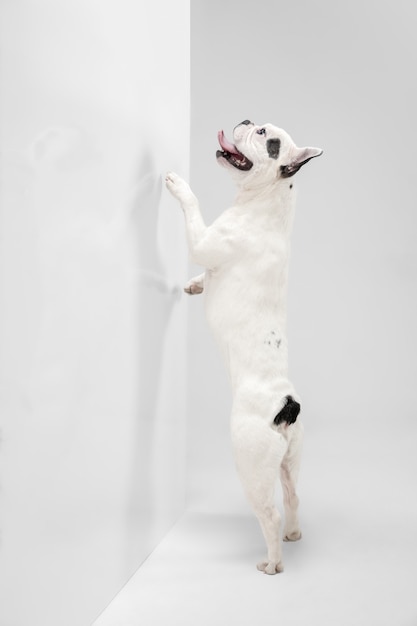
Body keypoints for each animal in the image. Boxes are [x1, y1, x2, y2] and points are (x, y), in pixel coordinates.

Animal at [165, 119, 322, 572]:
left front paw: (178, 184)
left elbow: (193, 213)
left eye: (267, 138)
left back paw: (272, 562)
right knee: (293, 496)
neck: (266, 202)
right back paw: (293, 534)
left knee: (268, 513)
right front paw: (195, 285)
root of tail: (287, 403)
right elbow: (203, 273)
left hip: (249, 462)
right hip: (291, 458)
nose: (249, 121)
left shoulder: (204, 241)